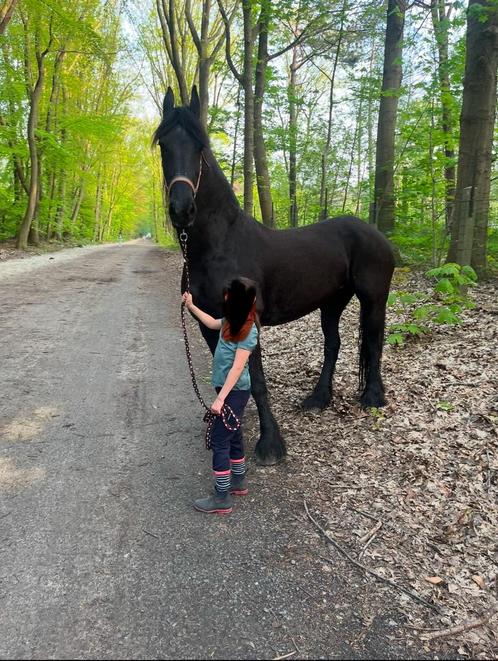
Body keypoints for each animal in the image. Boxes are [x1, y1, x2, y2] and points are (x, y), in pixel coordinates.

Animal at [154, 87, 394, 466]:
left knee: (372, 340)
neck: (220, 246)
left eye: (200, 145)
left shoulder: (246, 320)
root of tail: (375, 234)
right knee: (333, 344)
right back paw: (318, 399)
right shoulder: (208, 323)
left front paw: (270, 444)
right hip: (331, 303)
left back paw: (372, 397)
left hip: (374, 298)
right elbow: (224, 379)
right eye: (163, 144)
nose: (181, 209)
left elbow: (256, 380)